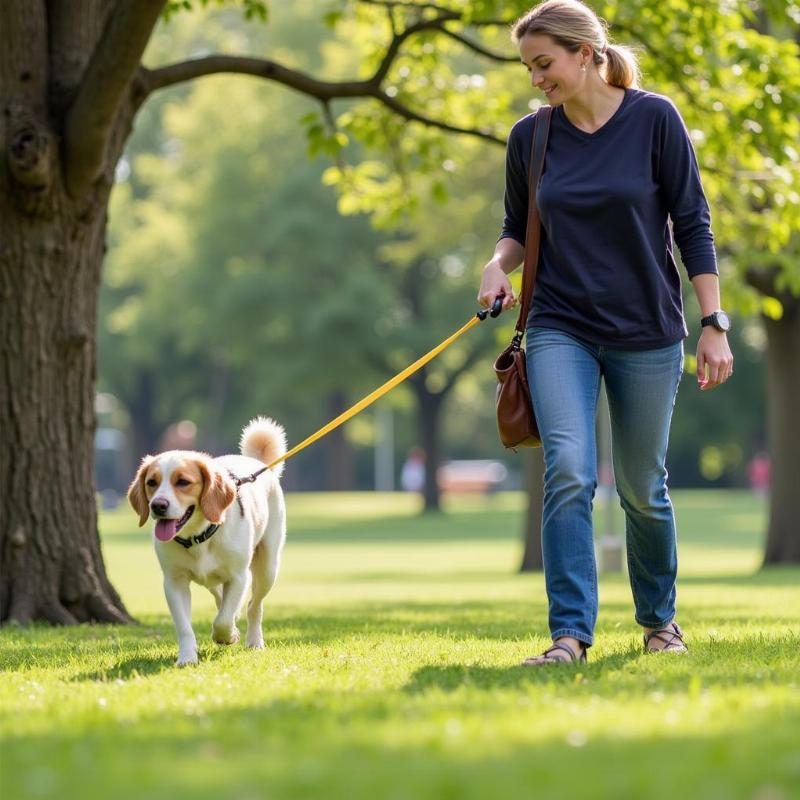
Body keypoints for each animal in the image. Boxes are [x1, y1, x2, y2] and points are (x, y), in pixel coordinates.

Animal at [125, 416, 288, 664]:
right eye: (152, 482)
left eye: (183, 482)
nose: (157, 505)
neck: (198, 538)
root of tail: (257, 463)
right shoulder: (174, 582)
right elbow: (185, 626)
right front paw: (186, 657)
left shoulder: (239, 576)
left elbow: (223, 620)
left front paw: (226, 636)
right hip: (215, 581)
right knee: (222, 598)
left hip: (268, 567)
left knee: (253, 606)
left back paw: (254, 641)